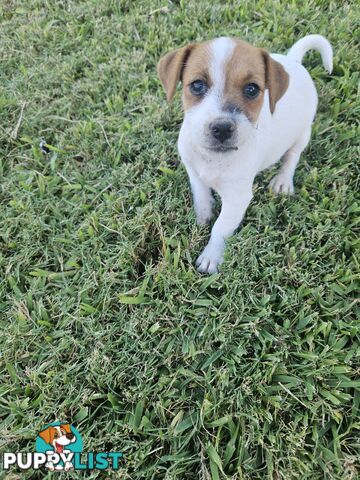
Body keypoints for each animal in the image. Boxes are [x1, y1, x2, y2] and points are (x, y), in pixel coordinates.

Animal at [159, 33, 334, 274]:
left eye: (252, 89)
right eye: (197, 85)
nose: (222, 128)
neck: (215, 158)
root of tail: (294, 62)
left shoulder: (237, 198)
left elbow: (221, 227)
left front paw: (211, 256)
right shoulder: (193, 171)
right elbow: (200, 193)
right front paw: (203, 214)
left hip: (303, 132)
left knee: (292, 156)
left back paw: (282, 180)